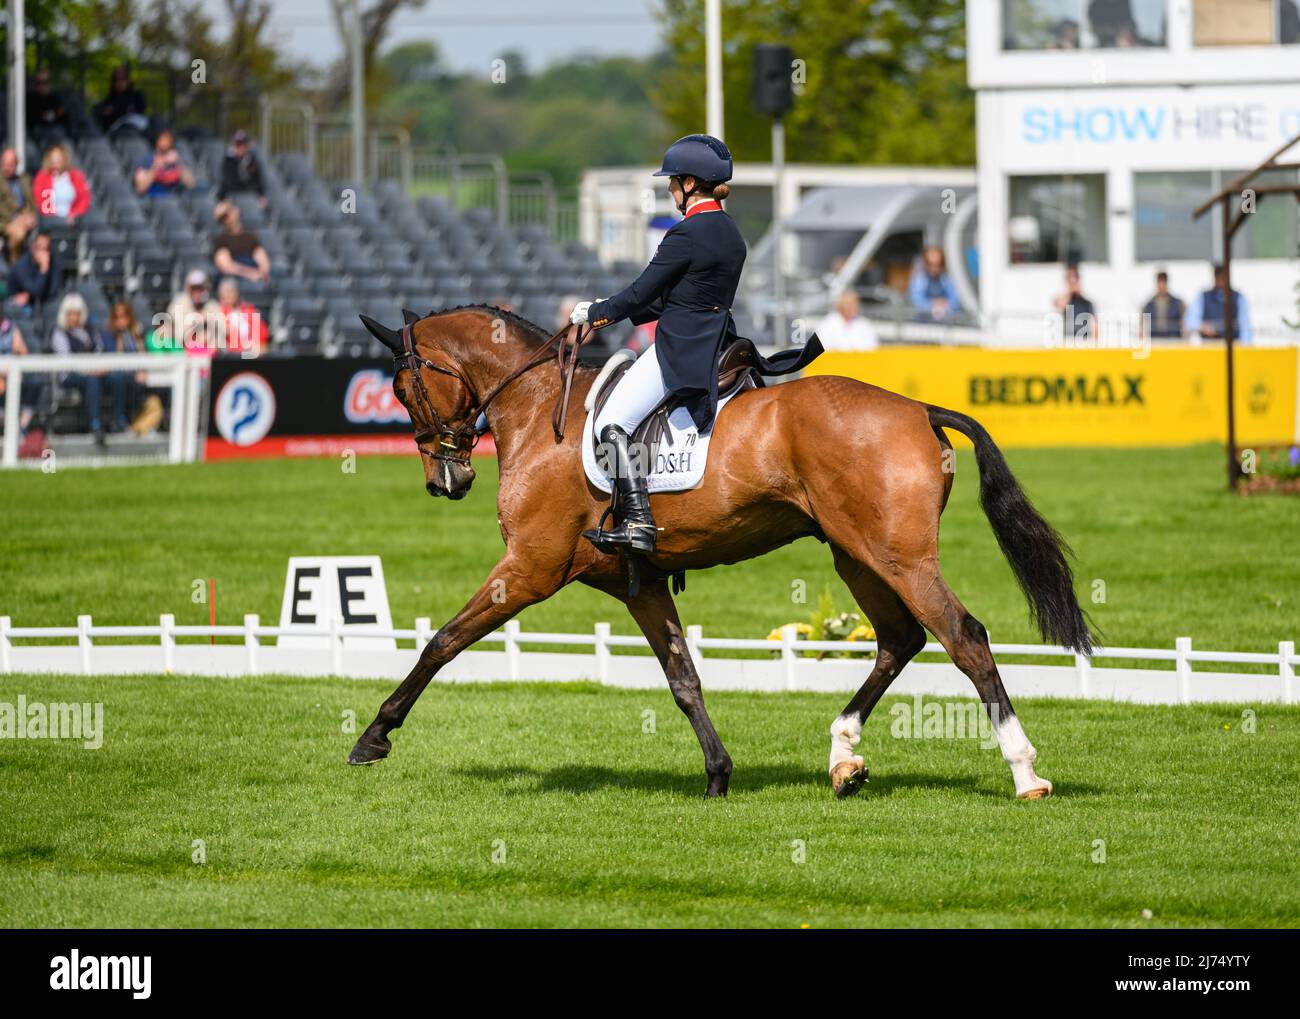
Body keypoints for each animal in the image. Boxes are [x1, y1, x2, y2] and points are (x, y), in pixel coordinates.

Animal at [351, 306, 1092, 800]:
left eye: (401, 388)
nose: (445, 480)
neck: (540, 412)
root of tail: (917, 407)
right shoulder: (640, 582)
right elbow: (683, 678)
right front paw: (717, 775)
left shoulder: (529, 569)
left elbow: (442, 641)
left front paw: (374, 736)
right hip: (856, 555)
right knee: (900, 639)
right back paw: (843, 758)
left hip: (899, 557)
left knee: (964, 637)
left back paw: (1025, 772)